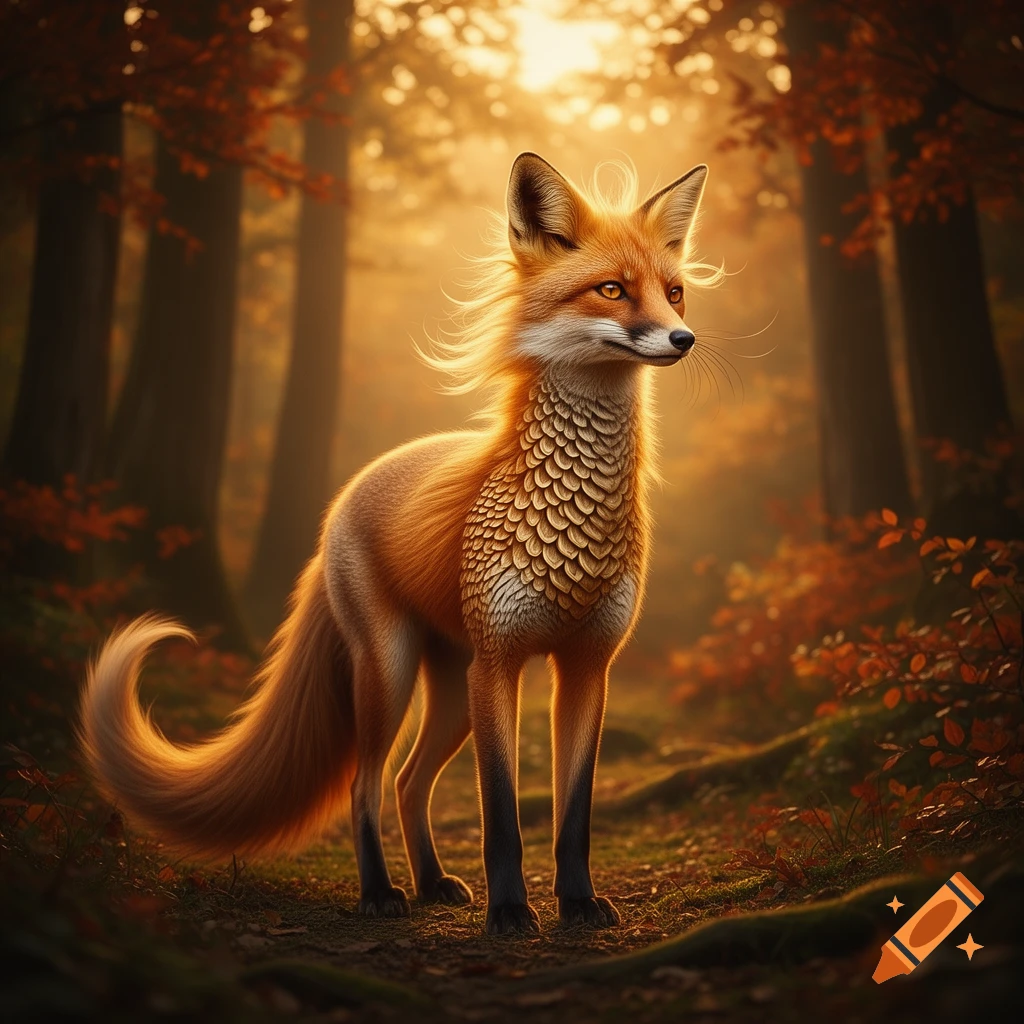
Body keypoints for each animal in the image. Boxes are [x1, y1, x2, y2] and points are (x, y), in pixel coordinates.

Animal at [79, 152, 718, 935]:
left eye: (675, 293)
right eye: (612, 290)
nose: (683, 339)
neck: (579, 527)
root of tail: (353, 488)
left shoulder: (587, 667)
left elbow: (574, 816)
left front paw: (577, 903)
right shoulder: (500, 664)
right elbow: (501, 815)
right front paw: (512, 913)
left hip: (450, 691)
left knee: (412, 782)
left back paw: (432, 881)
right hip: (392, 671)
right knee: (367, 784)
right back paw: (381, 892)